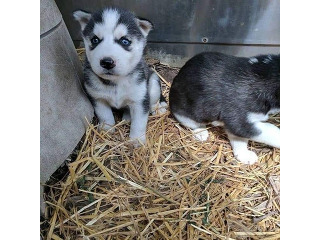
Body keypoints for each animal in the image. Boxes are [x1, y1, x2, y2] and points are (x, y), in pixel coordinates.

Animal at [73, 7, 166, 145]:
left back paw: (158, 109)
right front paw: (107, 130)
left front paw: (136, 140)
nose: (107, 62)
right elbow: (105, 115)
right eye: (95, 40)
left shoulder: (140, 100)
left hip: (153, 82)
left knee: (154, 100)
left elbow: (139, 123)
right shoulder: (98, 98)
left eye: (124, 41)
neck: (116, 83)